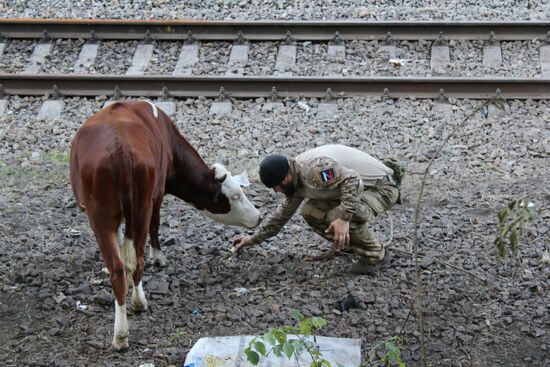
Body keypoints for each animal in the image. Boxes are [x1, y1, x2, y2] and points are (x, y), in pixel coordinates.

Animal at [69, 100, 264, 350]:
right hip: (131, 210)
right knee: (130, 263)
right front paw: (159, 257)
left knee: (123, 267)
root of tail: (119, 147)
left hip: (110, 216)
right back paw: (130, 317)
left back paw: (125, 325)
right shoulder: (158, 193)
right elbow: (155, 225)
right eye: (235, 195)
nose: (258, 216)